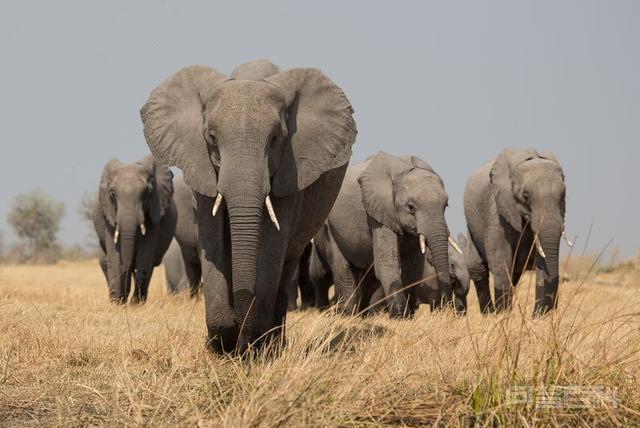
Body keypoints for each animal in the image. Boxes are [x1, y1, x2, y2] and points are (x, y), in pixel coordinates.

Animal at [93, 155, 176, 304]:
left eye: (147, 193)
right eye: (112, 194)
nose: (123, 299)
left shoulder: (154, 213)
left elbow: (145, 255)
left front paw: (135, 304)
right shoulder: (108, 215)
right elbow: (114, 256)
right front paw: (117, 303)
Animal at [140, 59, 357, 353]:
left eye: (276, 139)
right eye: (211, 137)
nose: (239, 333)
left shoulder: (291, 173)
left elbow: (271, 248)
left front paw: (251, 347)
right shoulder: (203, 167)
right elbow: (213, 243)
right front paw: (222, 343)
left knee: (287, 263)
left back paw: (274, 345)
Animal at [311, 151, 455, 318]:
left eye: (446, 205)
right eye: (411, 207)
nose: (447, 307)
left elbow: (412, 268)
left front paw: (408, 316)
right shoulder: (378, 213)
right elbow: (387, 264)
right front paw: (400, 317)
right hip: (331, 228)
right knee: (344, 271)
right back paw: (347, 315)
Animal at [463, 148, 567, 315]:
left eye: (563, 195)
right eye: (525, 196)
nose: (547, 310)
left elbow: (542, 261)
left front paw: (539, 317)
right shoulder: (497, 207)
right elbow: (501, 258)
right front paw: (502, 316)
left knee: (514, 275)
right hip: (472, 225)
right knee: (478, 268)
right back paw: (489, 314)